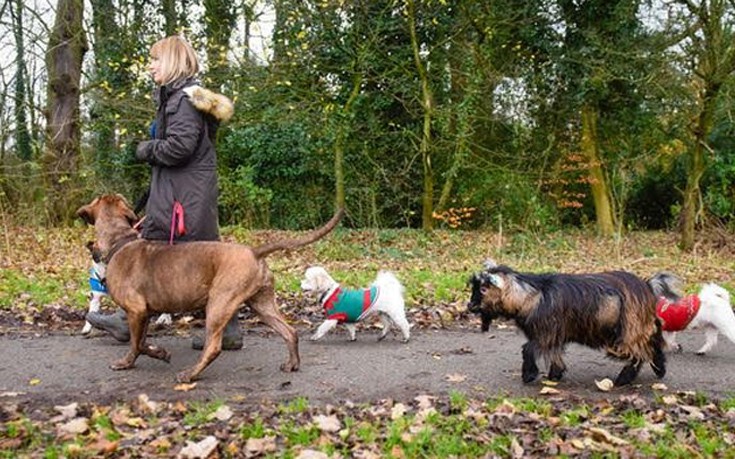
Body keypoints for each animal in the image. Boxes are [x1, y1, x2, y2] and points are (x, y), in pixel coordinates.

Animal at [77, 195, 344, 384]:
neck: (120, 241)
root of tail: (253, 251)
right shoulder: (145, 313)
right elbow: (142, 342)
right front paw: (159, 353)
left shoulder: (136, 310)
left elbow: (135, 344)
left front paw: (127, 362)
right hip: (262, 304)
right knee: (289, 332)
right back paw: (292, 364)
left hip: (218, 303)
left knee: (213, 347)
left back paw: (190, 374)